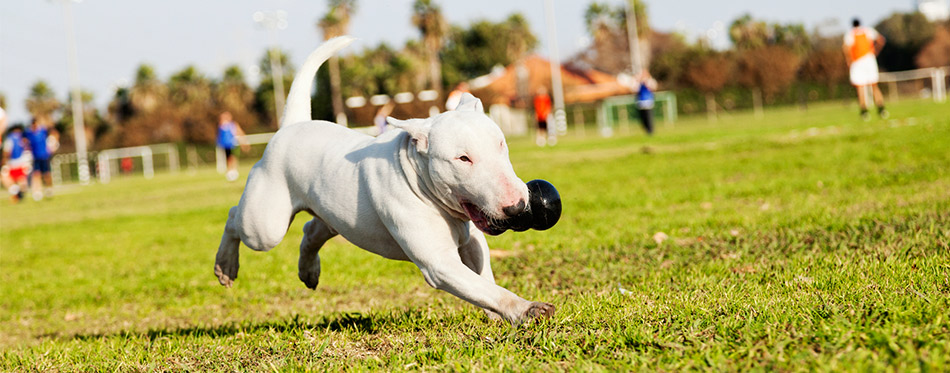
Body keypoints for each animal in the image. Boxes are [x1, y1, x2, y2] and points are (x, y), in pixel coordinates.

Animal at [214, 36, 556, 324]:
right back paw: (225, 265)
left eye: (501, 144)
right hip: (264, 225)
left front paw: (498, 315)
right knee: (234, 217)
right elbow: (484, 287)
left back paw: (308, 270)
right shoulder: (439, 263)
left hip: (333, 212)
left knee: (313, 228)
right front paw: (525, 308)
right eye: (463, 159)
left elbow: (485, 279)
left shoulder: (473, 240)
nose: (518, 206)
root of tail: (291, 126)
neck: (419, 179)